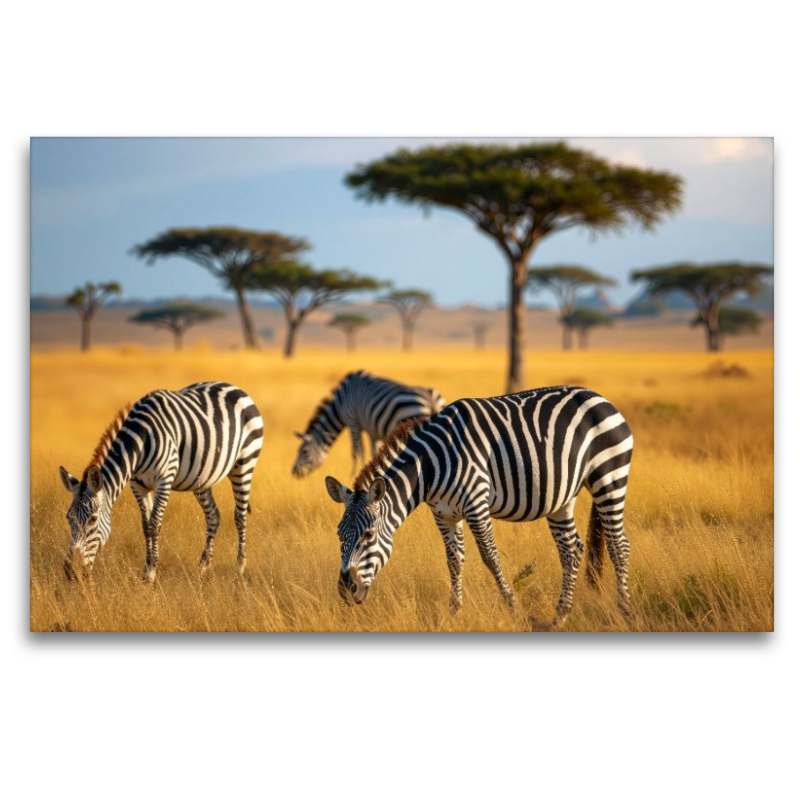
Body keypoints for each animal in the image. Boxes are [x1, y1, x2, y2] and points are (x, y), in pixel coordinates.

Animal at [59, 381, 264, 582]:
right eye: (68, 518)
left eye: (93, 519)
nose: (71, 572)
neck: (140, 441)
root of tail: (234, 386)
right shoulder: (138, 485)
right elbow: (145, 525)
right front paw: (147, 568)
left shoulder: (164, 480)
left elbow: (154, 524)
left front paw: (150, 572)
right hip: (202, 477)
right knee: (213, 515)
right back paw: (203, 566)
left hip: (244, 464)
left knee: (240, 515)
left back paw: (239, 567)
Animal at [292, 370, 446, 478]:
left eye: (304, 452)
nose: (293, 472)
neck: (340, 402)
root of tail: (431, 401)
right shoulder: (373, 430)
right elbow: (373, 451)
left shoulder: (353, 421)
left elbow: (356, 450)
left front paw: (353, 474)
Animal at [325, 385, 634, 627]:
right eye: (339, 536)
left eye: (368, 536)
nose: (346, 590)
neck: (429, 468)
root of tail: (599, 397)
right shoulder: (443, 514)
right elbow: (454, 560)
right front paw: (453, 613)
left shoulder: (476, 504)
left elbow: (490, 556)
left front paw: (512, 609)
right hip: (562, 499)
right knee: (572, 550)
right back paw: (560, 617)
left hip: (609, 477)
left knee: (619, 545)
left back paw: (625, 610)